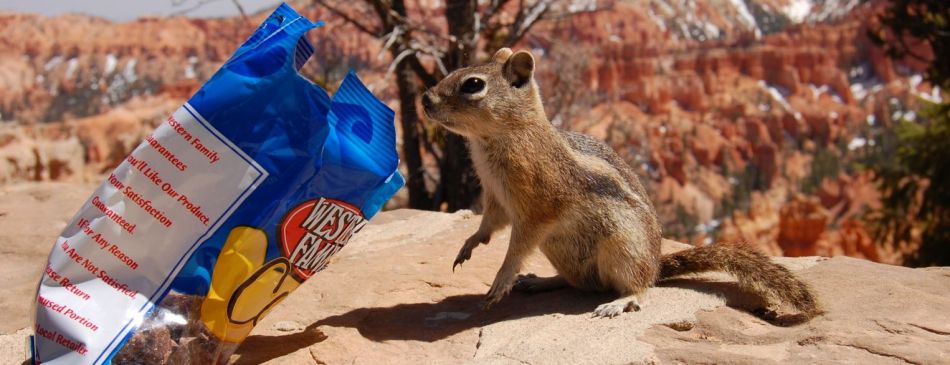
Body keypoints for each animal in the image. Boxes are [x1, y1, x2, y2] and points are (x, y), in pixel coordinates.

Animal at [420, 47, 820, 318]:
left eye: (473, 85)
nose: (424, 98)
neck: (500, 138)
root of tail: (656, 264)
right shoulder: (496, 197)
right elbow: (490, 225)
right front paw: (469, 245)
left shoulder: (537, 207)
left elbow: (517, 247)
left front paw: (500, 280)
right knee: (581, 282)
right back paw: (541, 281)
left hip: (622, 249)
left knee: (639, 289)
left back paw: (620, 301)